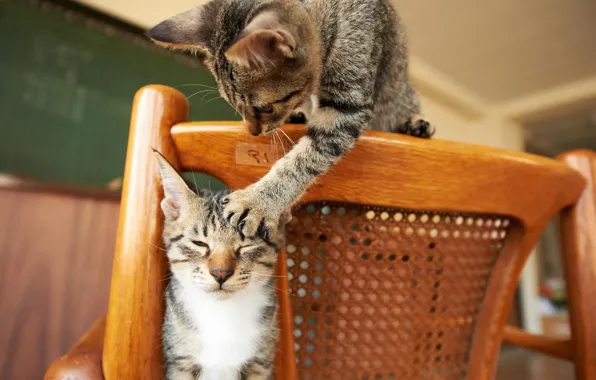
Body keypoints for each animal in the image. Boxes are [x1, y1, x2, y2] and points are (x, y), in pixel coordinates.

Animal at [148, 0, 428, 242]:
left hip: (401, 94)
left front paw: (258, 201)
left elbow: (303, 160)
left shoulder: (349, 104)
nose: (252, 132)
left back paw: (416, 124)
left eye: (264, 107)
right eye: (234, 106)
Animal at [155, 151, 290, 380]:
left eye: (246, 245)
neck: (222, 313)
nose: (220, 273)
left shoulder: (260, 363)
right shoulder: (180, 362)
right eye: (199, 243)